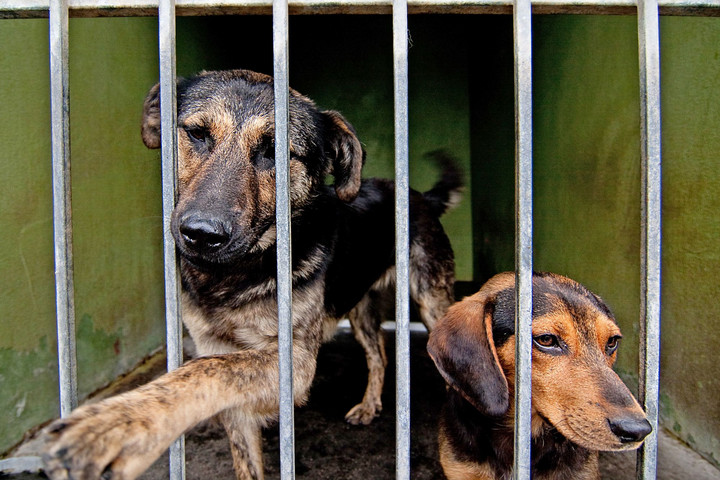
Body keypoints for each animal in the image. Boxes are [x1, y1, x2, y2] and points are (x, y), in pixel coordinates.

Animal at [42, 68, 462, 480]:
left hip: (432, 303)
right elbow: (230, 412)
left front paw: (119, 423)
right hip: (358, 305)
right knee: (378, 355)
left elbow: (203, 369)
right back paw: (370, 404)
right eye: (197, 133)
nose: (201, 234)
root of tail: (420, 196)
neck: (231, 279)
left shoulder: (295, 362)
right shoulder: (219, 355)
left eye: (274, 152)